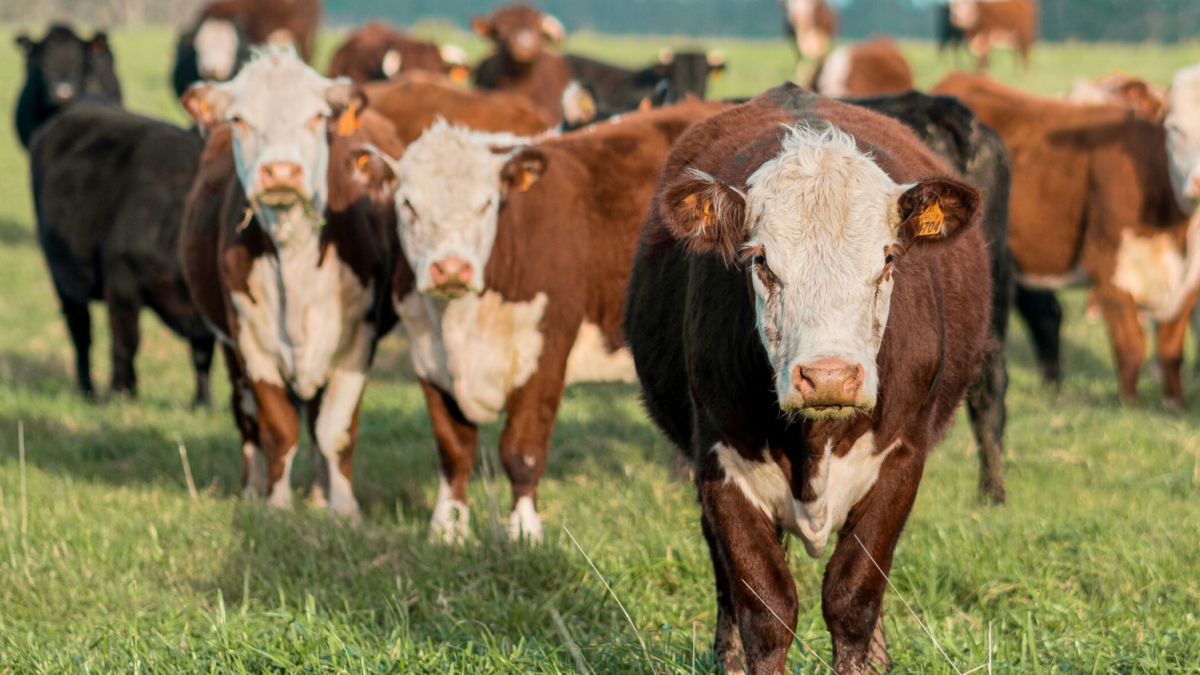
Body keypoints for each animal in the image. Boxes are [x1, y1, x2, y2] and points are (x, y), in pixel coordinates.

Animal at [29, 103, 213, 405]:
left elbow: (202, 353)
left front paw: (202, 403)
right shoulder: (122, 286)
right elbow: (125, 344)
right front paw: (119, 393)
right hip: (63, 280)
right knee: (81, 335)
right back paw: (87, 390)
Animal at [179, 47, 403, 518]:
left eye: (317, 116)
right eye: (239, 119)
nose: (281, 171)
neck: (295, 253)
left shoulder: (359, 337)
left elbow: (336, 430)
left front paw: (344, 511)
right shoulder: (249, 339)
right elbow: (277, 428)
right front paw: (277, 507)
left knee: (317, 418)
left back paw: (319, 495)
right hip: (229, 348)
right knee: (247, 417)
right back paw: (253, 488)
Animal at [354, 100, 728, 543]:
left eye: (487, 203)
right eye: (409, 205)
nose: (451, 269)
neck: (461, 327)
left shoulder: (547, 349)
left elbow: (522, 449)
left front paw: (524, 532)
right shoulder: (427, 354)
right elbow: (453, 450)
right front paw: (448, 530)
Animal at [625, 82, 992, 674]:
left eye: (889, 259)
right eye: (760, 261)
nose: (829, 377)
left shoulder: (901, 462)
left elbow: (854, 597)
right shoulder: (719, 462)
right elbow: (764, 607)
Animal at [934, 72, 1197, 405]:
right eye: (1174, 129)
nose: (1198, 182)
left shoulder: (1187, 280)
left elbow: (1171, 349)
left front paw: (1174, 403)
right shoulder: (1107, 264)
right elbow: (1132, 348)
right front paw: (1130, 406)